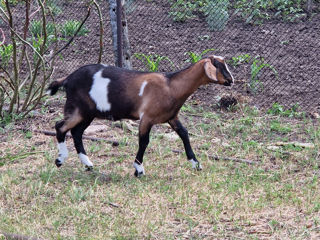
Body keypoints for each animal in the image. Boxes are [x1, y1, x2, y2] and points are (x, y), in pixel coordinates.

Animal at [47, 55, 232, 177]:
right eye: (219, 65)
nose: (232, 81)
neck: (171, 86)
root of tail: (68, 78)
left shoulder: (171, 117)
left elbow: (184, 134)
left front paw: (196, 164)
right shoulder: (147, 118)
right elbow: (144, 141)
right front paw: (138, 169)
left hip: (88, 113)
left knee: (76, 132)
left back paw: (88, 165)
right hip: (78, 109)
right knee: (60, 126)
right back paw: (60, 160)